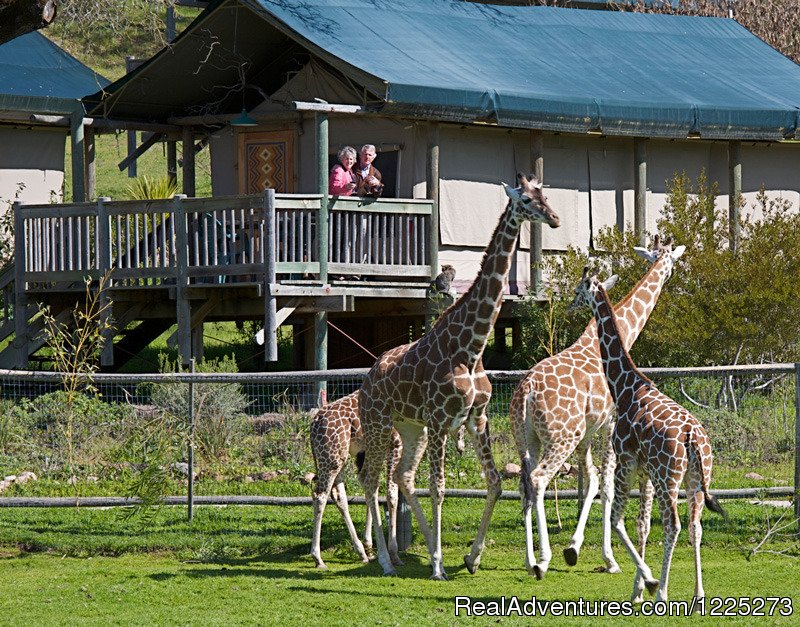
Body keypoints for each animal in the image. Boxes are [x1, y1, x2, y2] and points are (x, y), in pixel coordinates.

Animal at [310, 390, 404, 572]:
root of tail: (314, 424)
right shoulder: (397, 443)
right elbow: (391, 495)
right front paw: (393, 554)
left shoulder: (365, 451)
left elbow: (369, 488)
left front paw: (369, 546)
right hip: (332, 458)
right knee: (320, 496)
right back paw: (318, 558)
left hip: (337, 457)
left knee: (338, 496)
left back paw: (361, 552)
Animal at [360, 173, 560, 580]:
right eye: (526, 200)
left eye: (544, 195)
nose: (554, 219)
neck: (471, 348)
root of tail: (366, 381)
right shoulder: (440, 420)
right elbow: (438, 487)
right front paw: (438, 566)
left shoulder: (476, 418)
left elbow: (495, 484)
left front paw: (471, 557)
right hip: (379, 424)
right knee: (373, 482)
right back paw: (386, 561)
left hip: (410, 428)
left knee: (401, 477)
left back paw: (413, 550)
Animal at [510, 234, 684, 580]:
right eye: (669, 260)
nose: (570, 305)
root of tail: (526, 394)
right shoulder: (610, 423)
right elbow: (605, 484)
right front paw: (609, 559)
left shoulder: (588, 432)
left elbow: (589, 481)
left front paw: (574, 547)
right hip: (560, 437)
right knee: (539, 480)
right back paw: (544, 559)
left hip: (527, 439)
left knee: (524, 483)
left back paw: (529, 559)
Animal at [572, 268, 728, 604]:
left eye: (579, 290)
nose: (569, 304)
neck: (625, 385)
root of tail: (693, 439)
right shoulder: (644, 472)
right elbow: (642, 525)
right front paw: (637, 589)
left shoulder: (627, 462)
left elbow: (618, 520)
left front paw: (649, 583)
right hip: (696, 479)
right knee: (695, 526)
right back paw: (698, 594)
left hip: (668, 478)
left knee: (674, 525)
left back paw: (664, 593)